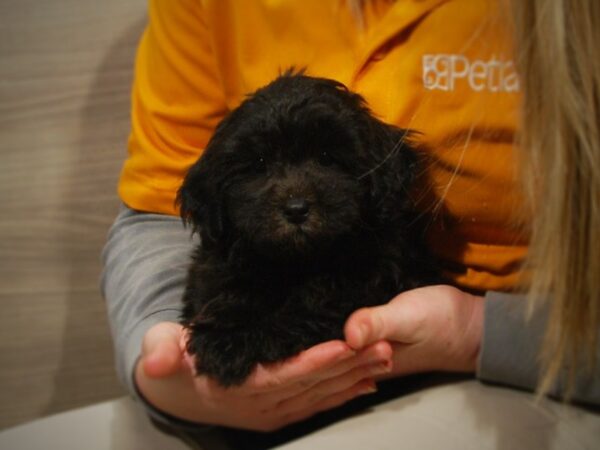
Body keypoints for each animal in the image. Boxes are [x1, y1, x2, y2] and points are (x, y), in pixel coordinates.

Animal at [177, 72, 436, 384]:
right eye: (259, 164)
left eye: (326, 157)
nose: (296, 209)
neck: (299, 259)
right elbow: (226, 285)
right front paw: (224, 335)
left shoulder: (371, 275)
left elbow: (320, 299)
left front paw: (257, 334)